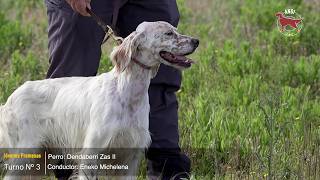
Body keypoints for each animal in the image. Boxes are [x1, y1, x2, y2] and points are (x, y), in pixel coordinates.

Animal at [0, 20, 199, 179]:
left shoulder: (130, 156)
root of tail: (9, 100)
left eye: (175, 30)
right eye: (168, 33)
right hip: (25, 153)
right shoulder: (92, 152)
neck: (127, 93)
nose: (196, 41)